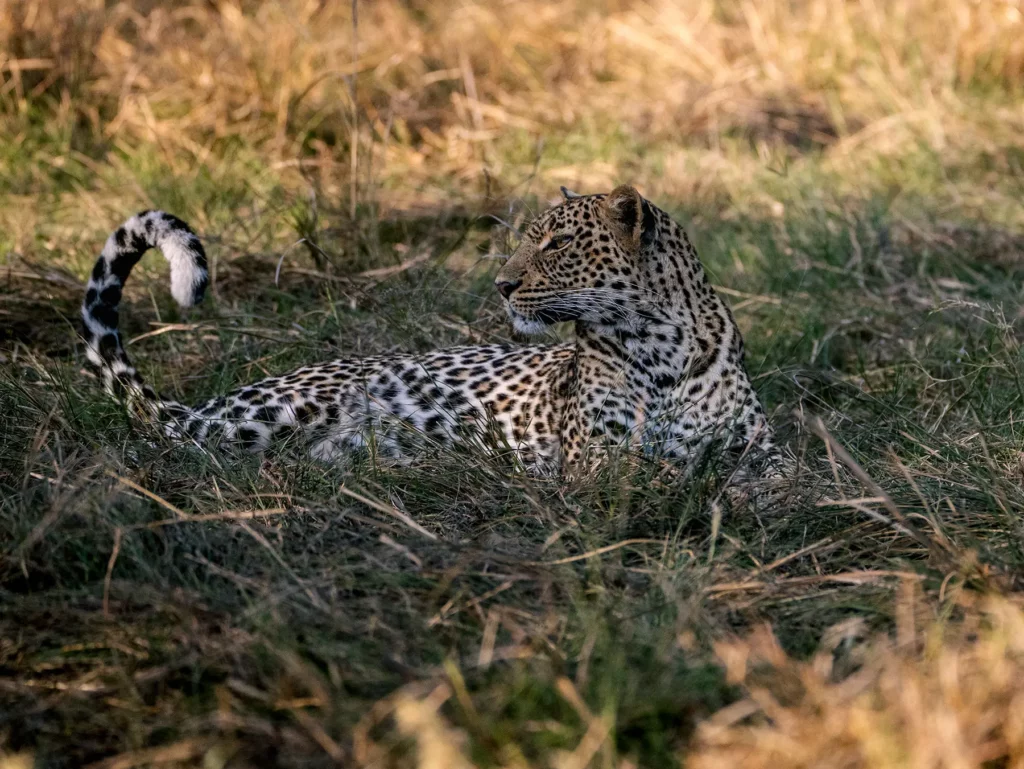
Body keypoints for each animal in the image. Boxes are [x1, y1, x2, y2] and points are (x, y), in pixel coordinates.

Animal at [80, 185, 784, 478]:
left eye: (556, 244)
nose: (502, 285)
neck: (657, 342)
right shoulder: (599, 457)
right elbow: (660, 477)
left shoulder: (762, 446)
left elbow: (778, 477)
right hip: (271, 412)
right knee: (165, 445)